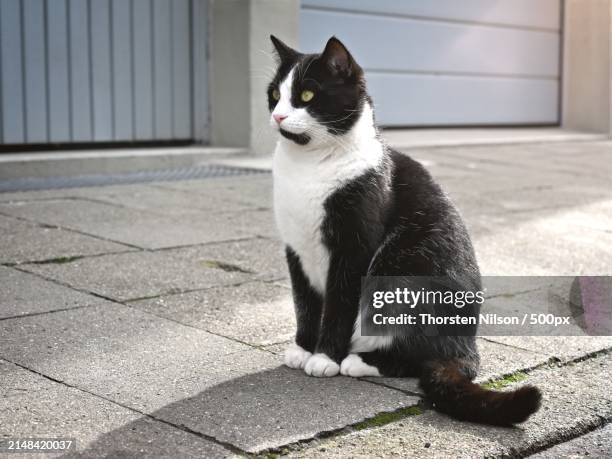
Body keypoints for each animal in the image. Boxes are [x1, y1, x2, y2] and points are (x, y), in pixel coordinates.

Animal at [268, 36, 540, 428]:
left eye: (306, 95)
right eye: (275, 94)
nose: (277, 115)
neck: (307, 168)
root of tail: (466, 347)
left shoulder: (354, 249)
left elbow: (338, 304)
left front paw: (324, 357)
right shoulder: (296, 247)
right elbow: (304, 303)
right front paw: (303, 348)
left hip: (402, 274)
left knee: (419, 357)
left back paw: (358, 361)